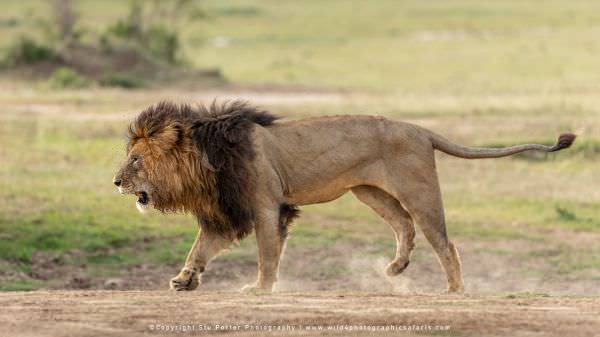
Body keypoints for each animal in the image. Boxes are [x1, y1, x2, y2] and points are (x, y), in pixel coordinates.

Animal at [113, 100, 576, 292]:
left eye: (135, 159)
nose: (116, 182)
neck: (206, 160)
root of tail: (422, 129)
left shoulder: (266, 206)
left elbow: (267, 254)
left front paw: (260, 289)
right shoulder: (228, 214)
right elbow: (200, 248)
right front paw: (184, 280)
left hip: (420, 190)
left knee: (444, 242)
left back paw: (454, 291)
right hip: (369, 191)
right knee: (403, 225)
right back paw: (394, 269)